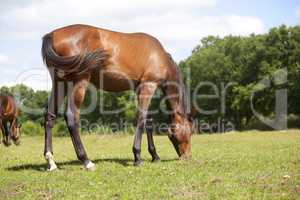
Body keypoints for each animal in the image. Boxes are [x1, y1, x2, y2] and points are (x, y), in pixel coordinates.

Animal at [41, 24, 192, 171]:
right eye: (190, 131)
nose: (187, 156)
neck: (160, 57)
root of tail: (52, 35)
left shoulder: (140, 89)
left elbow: (148, 121)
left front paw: (155, 156)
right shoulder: (148, 86)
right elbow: (141, 119)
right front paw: (137, 157)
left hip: (60, 83)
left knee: (50, 116)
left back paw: (51, 162)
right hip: (79, 81)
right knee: (71, 116)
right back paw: (86, 161)